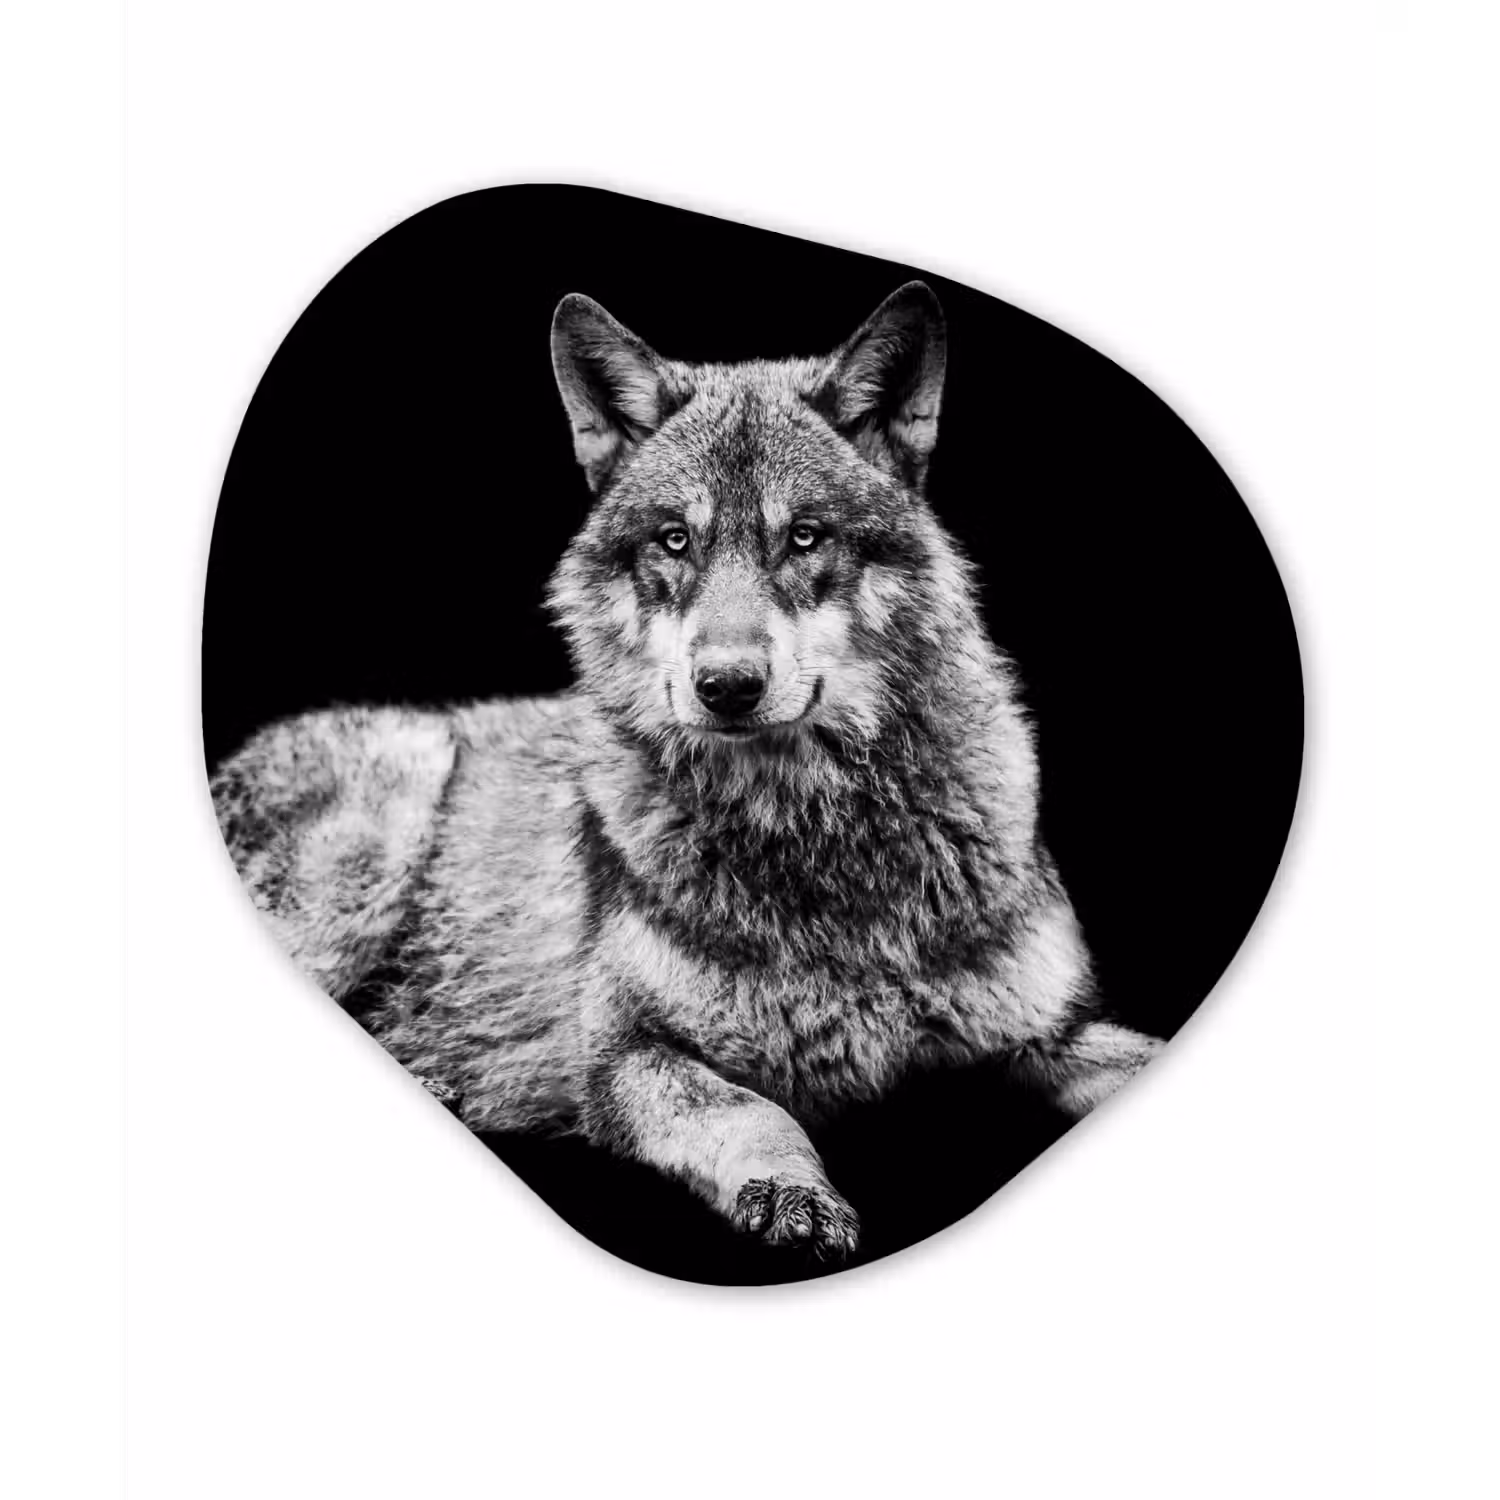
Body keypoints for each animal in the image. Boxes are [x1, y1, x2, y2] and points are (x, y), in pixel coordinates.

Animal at [211, 281, 1163, 1261]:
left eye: (804, 538)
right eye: (674, 542)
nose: (728, 686)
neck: (813, 838)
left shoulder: (1050, 1031)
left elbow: (1138, 1054)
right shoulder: (626, 1055)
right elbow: (754, 1111)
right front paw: (793, 1193)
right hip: (385, 819)